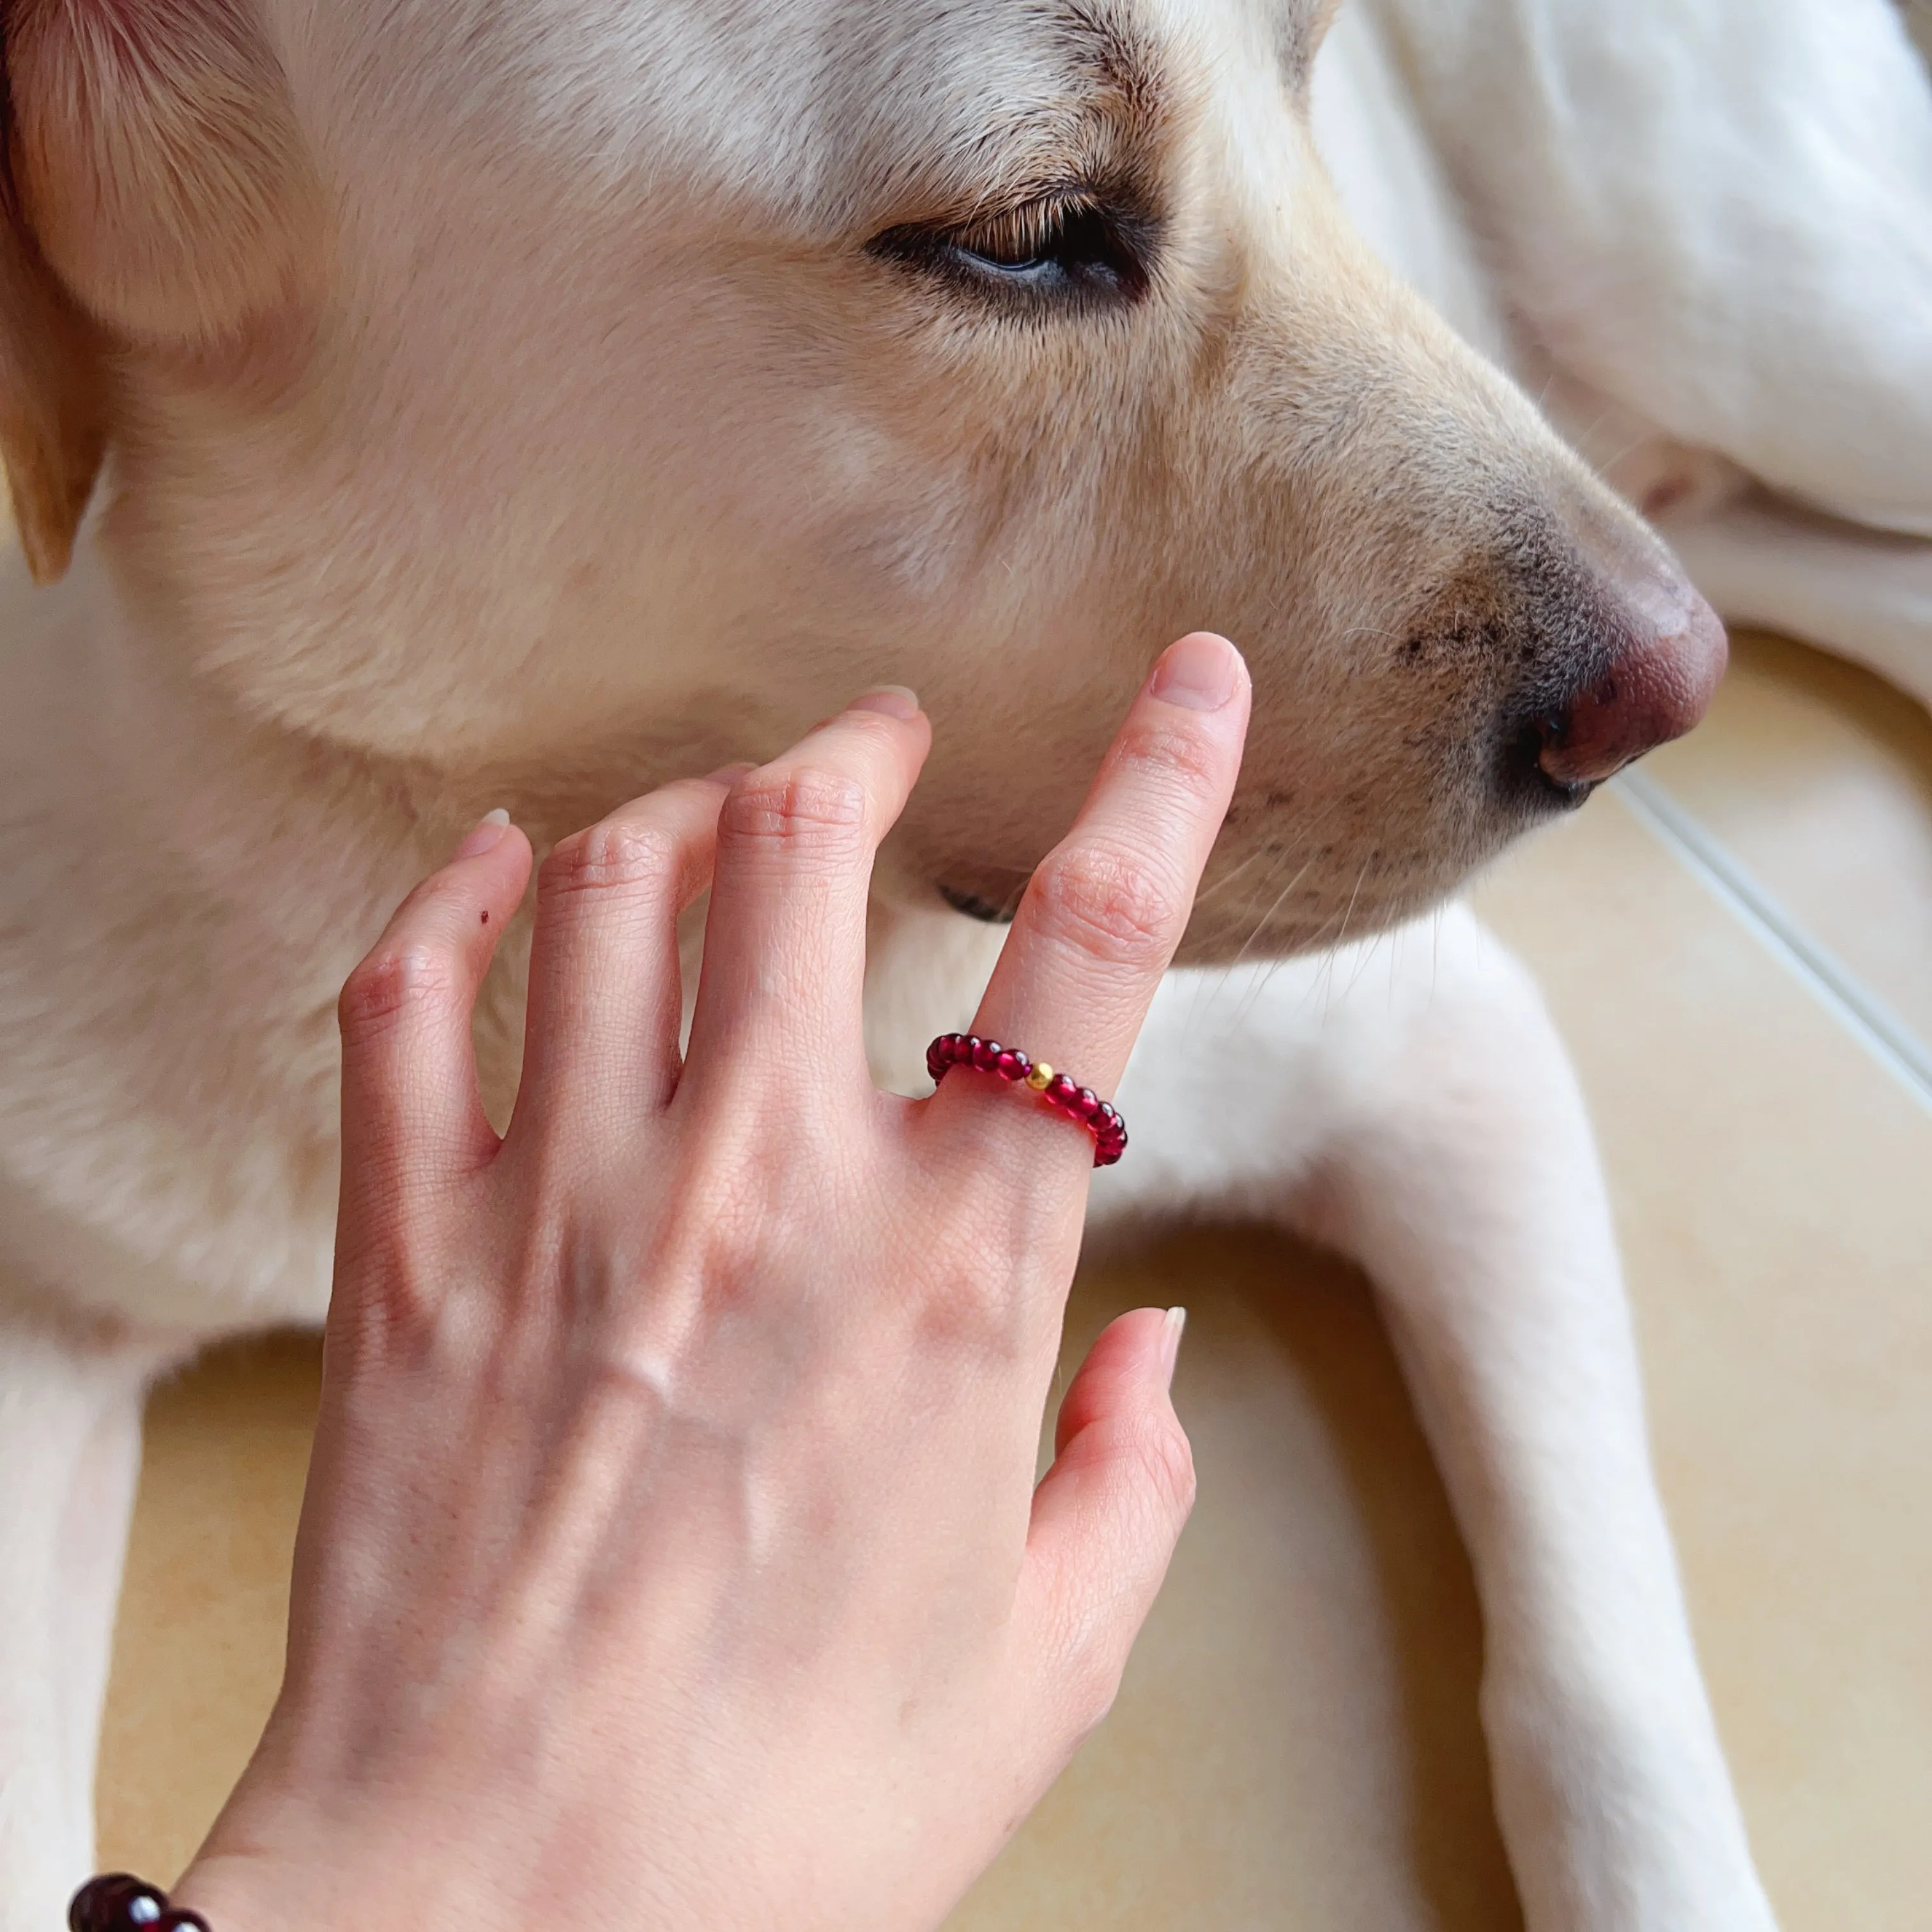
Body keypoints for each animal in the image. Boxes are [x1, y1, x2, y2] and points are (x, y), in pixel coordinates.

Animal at [0, 0, 1924, 1924]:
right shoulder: (43, 1319)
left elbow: (1596, 1695)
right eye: (1026, 233)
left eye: (1311, 65)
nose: (1664, 699)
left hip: (1784, 333)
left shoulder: (1446, 1060)